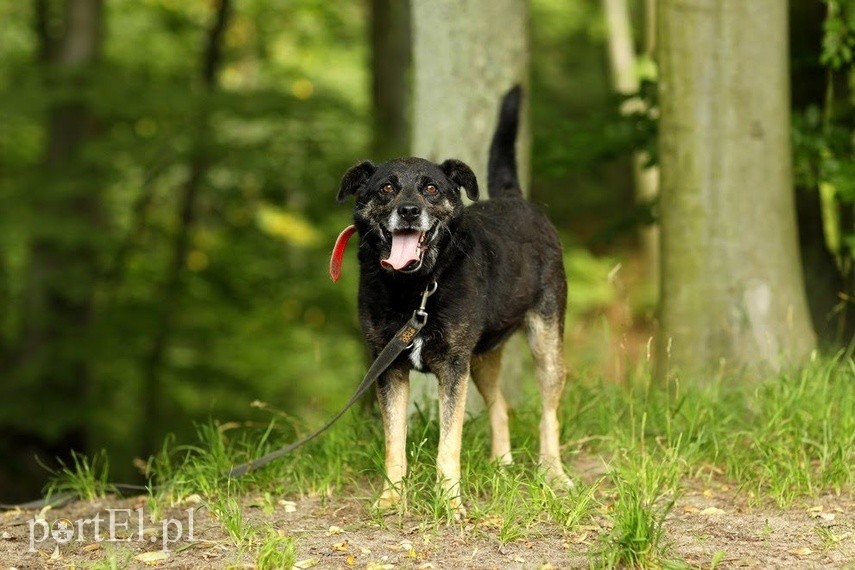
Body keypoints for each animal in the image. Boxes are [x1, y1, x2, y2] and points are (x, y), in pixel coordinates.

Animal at [334, 85, 568, 516]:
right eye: (386, 188)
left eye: (431, 189)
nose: (409, 211)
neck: (415, 287)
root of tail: (516, 199)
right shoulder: (390, 369)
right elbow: (394, 442)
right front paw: (391, 499)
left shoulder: (452, 369)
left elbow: (449, 443)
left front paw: (449, 502)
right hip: (483, 359)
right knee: (500, 407)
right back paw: (502, 465)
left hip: (545, 343)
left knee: (549, 412)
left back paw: (553, 473)